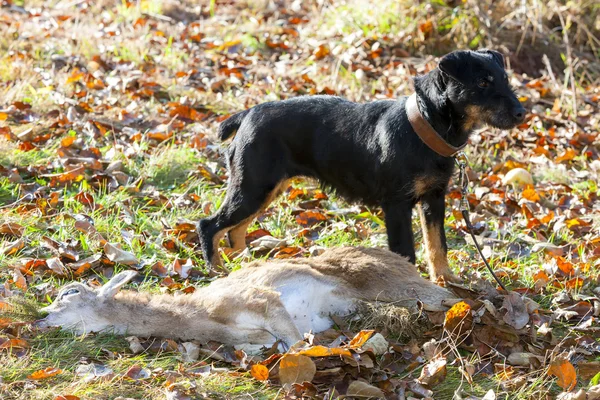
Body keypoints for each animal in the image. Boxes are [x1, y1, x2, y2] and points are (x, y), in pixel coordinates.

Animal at [198, 50, 524, 282]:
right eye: (482, 82)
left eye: (505, 80)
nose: (522, 112)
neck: (425, 126)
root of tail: (247, 115)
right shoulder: (397, 206)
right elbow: (406, 252)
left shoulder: (434, 199)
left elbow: (437, 245)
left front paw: (445, 280)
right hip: (253, 187)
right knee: (209, 226)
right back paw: (217, 272)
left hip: (264, 189)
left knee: (234, 231)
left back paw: (244, 269)